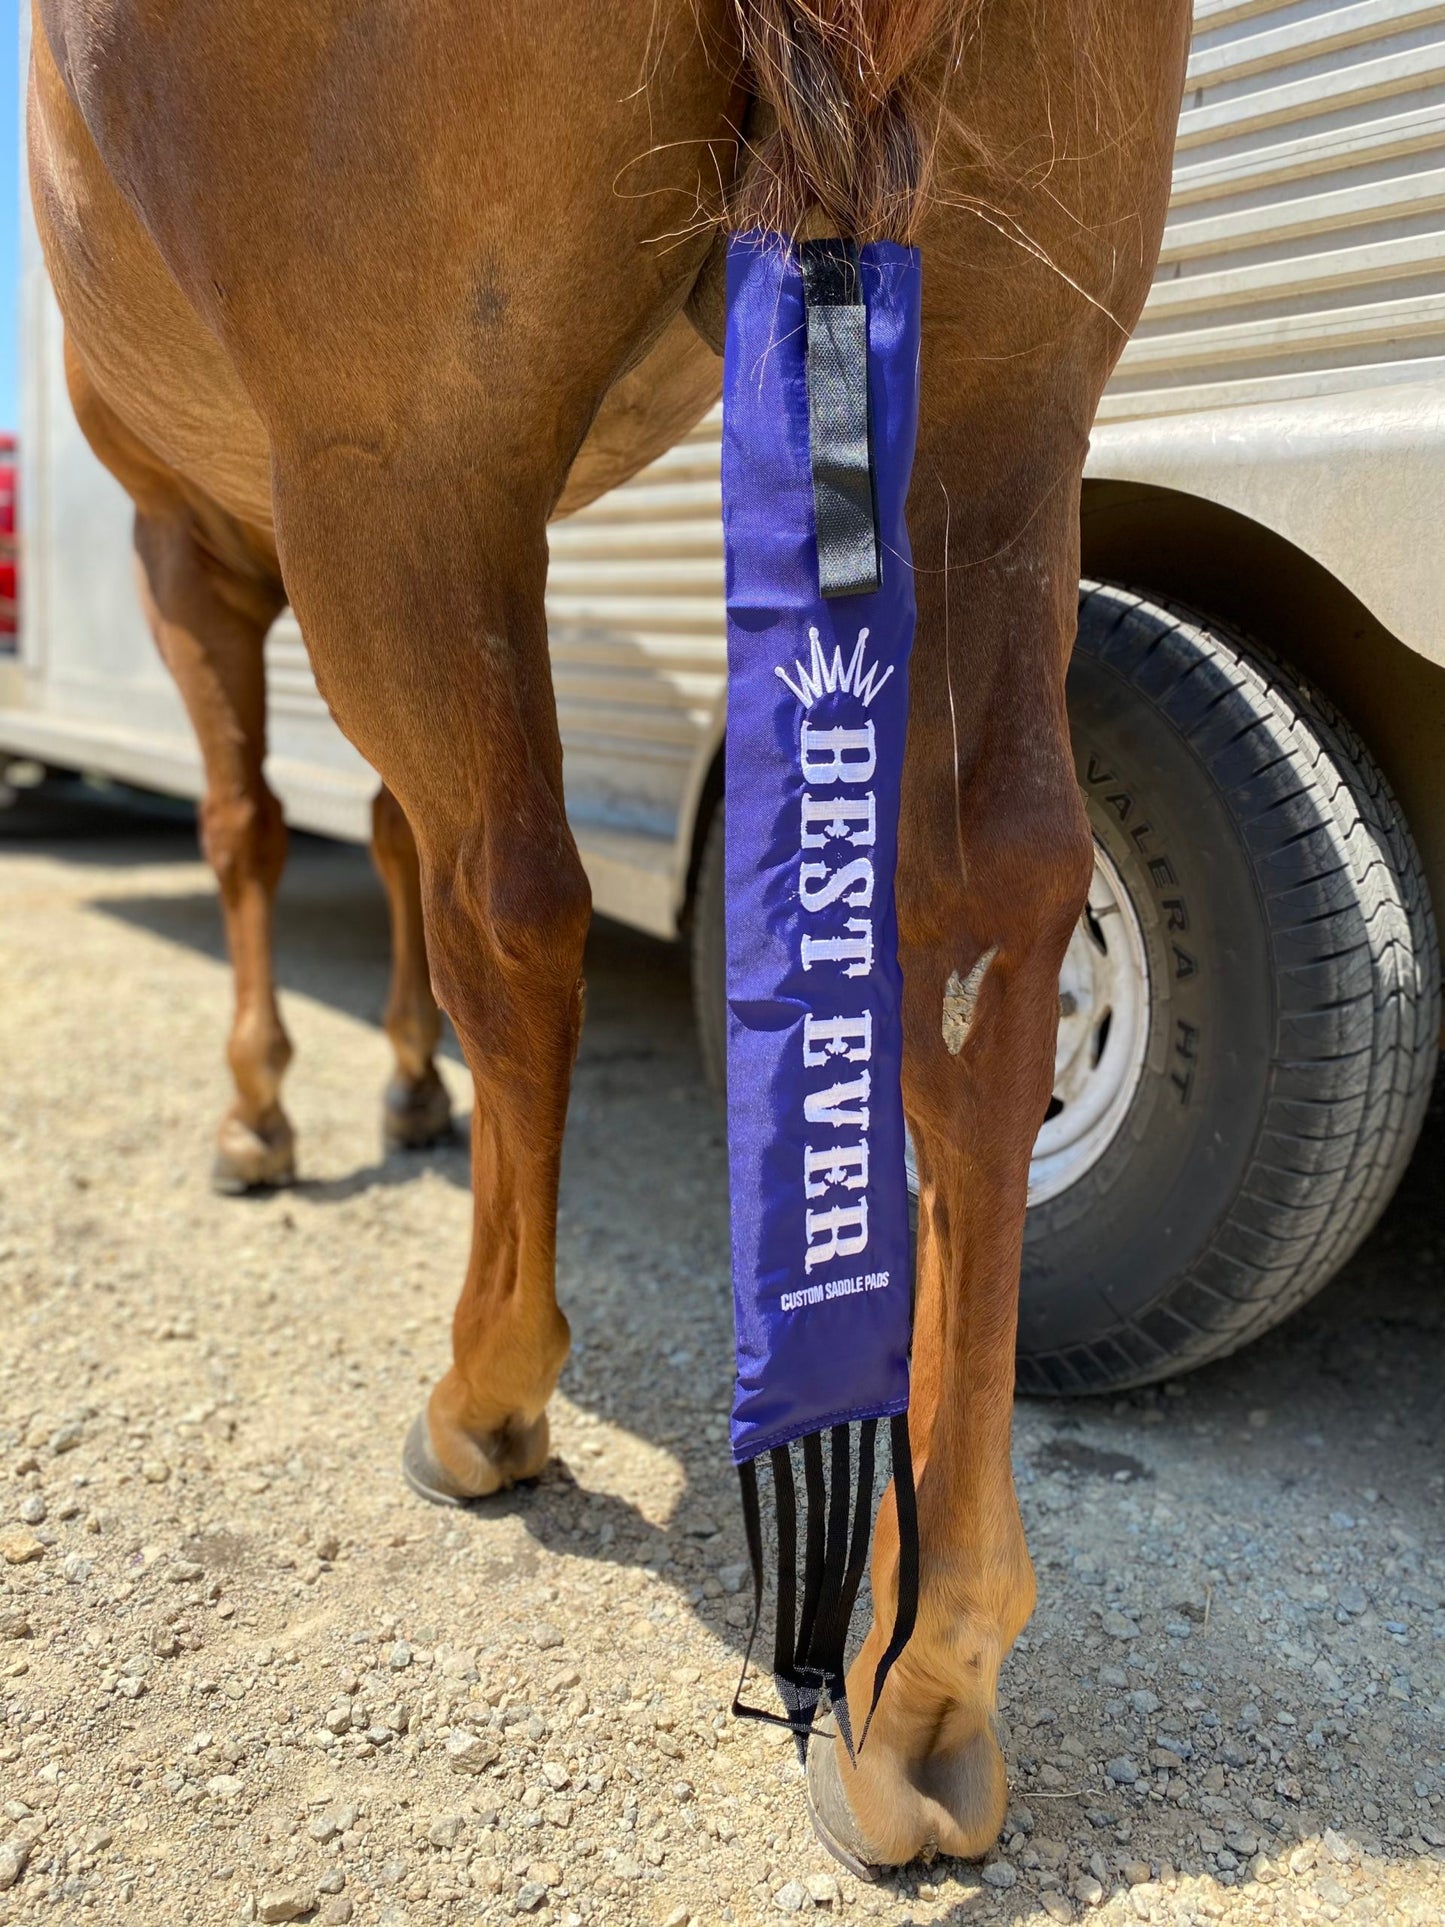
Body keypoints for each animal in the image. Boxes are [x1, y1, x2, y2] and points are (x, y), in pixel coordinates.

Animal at [31, 0, 1186, 1865]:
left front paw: (264, 1109)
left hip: (401, 478)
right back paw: (927, 1666)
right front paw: (401, 1087)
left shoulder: (199, 541)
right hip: (1005, 391)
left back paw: (485, 1392)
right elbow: (386, 833)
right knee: (988, 903)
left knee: (518, 900)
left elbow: (262, 830)